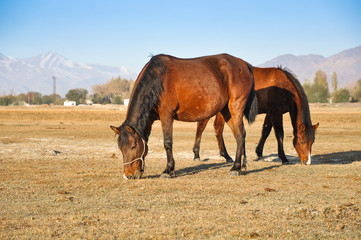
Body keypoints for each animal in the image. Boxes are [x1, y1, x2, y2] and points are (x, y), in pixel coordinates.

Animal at [109, 54, 256, 178]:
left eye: (133, 146)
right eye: (120, 148)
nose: (129, 175)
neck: (157, 79)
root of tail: (244, 64)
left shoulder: (166, 115)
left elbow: (167, 143)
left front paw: (168, 170)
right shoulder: (149, 119)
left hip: (235, 108)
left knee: (240, 135)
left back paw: (235, 168)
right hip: (226, 111)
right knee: (240, 135)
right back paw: (241, 165)